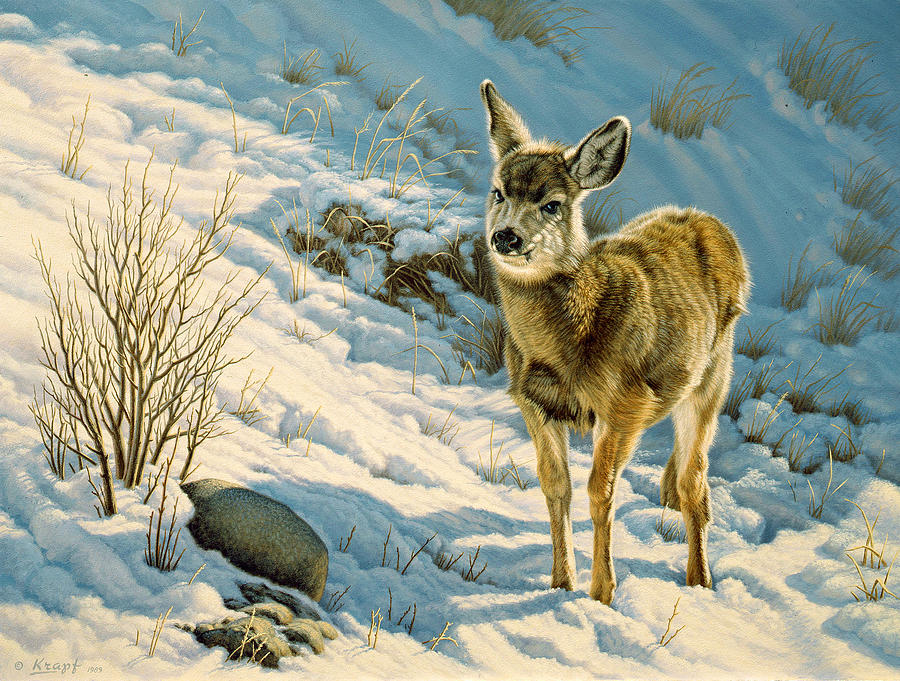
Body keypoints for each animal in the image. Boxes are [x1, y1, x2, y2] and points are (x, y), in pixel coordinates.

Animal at [479, 80, 750, 604]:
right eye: (498, 191)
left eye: (552, 204)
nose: (506, 237)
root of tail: (715, 227)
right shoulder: (534, 403)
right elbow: (555, 486)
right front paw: (560, 582)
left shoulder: (625, 404)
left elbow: (598, 491)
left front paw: (602, 591)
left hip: (712, 376)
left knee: (696, 482)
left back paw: (700, 578)